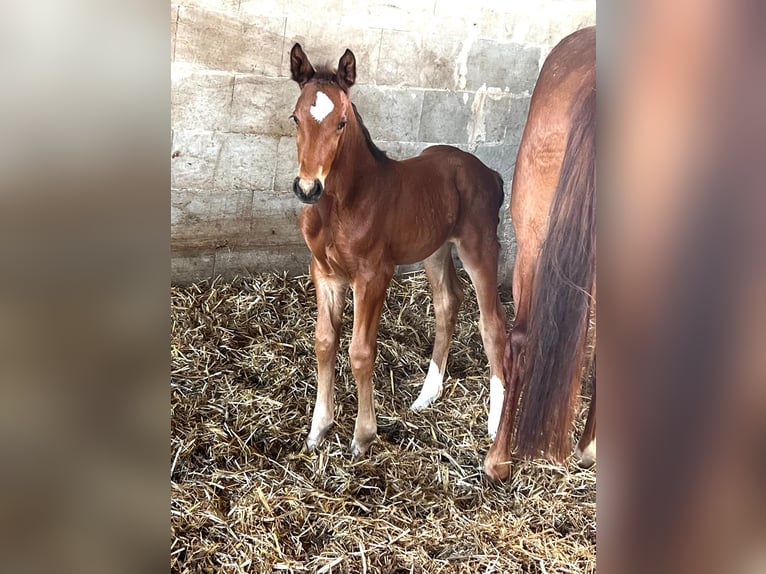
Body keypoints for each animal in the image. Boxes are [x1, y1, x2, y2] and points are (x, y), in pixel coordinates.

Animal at [290, 44, 510, 460]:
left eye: (341, 122)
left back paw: (495, 425)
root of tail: (489, 172)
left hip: (479, 247)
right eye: (295, 118)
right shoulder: (325, 273)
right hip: (435, 250)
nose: (308, 188)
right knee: (447, 304)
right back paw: (427, 395)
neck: (343, 204)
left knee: (492, 323)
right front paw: (318, 429)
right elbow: (324, 342)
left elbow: (361, 352)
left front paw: (362, 436)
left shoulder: (374, 275)